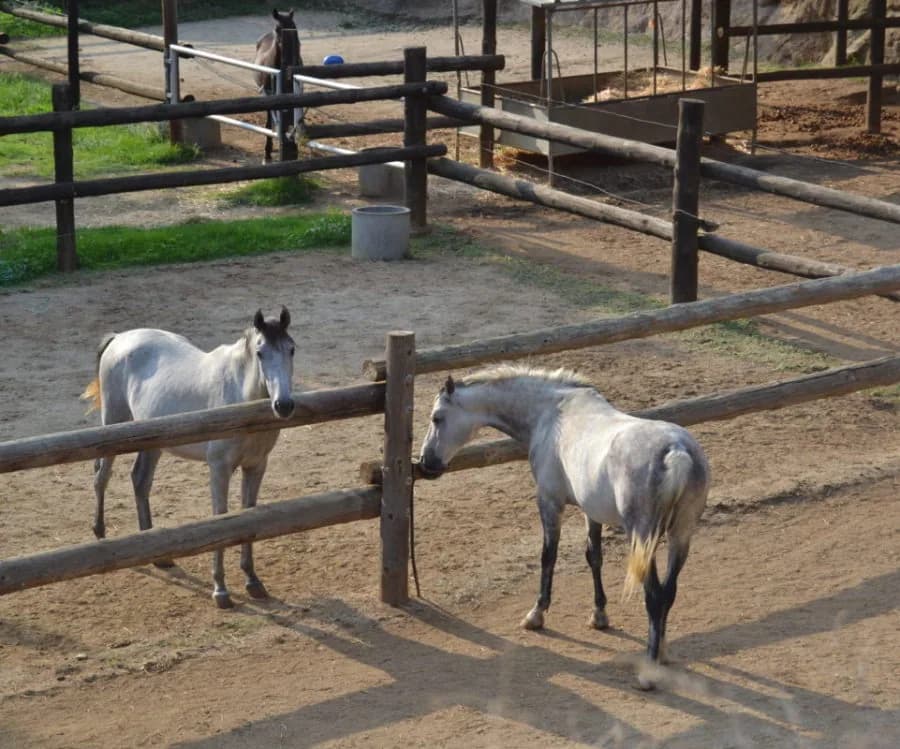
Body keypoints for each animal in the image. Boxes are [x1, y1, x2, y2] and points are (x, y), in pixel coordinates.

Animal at [81, 308, 296, 609]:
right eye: (260, 352)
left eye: (291, 349)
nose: (284, 405)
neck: (239, 398)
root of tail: (119, 338)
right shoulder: (219, 468)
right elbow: (221, 517)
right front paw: (220, 590)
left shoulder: (256, 466)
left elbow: (248, 516)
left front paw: (253, 581)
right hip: (114, 424)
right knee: (102, 476)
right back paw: (100, 533)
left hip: (153, 441)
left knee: (140, 481)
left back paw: (159, 555)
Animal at [253, 8, 300, 163]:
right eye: (278, 29)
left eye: (294, 27)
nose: (294, 55)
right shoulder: (269, 97)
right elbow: (269, 123)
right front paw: (267, 154)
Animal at [418, 364, 710, 689]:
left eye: (437, 417)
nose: (425, 463)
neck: (551, 413)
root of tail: (676, 452)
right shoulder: (590, 511)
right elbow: (594, 556)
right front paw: (599, 615)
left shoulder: (549, 501)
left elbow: (548, 557)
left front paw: (536, 615)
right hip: (680, 535)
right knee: (669, 592)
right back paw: (662, 651)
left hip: (642, 537)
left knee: (655, 596)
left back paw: (648, 670)